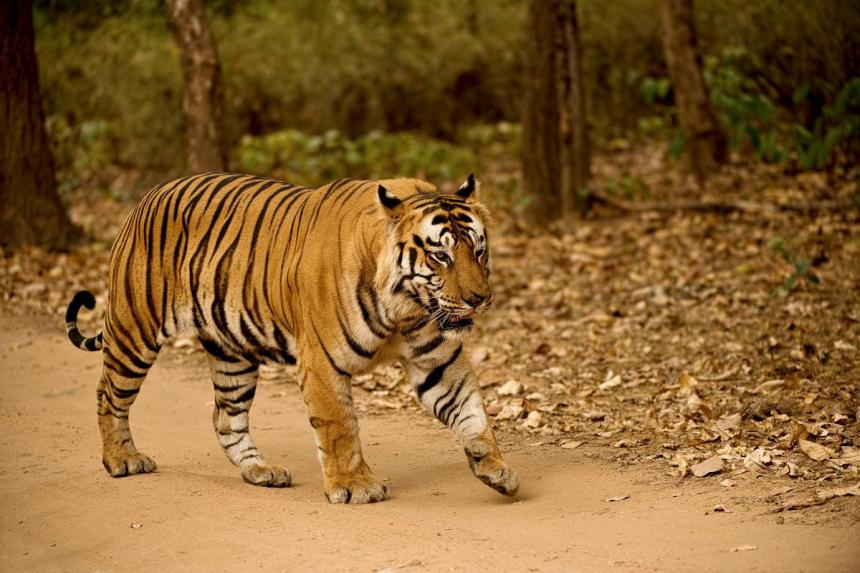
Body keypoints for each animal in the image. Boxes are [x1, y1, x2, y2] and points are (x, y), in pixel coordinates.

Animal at [65, 172, 516, 502]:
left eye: (478, 251)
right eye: (441, 255)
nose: (480, 299)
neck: (405, 309)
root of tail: (147, 196)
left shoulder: (436, 359)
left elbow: (470, 408)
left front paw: (492, 465)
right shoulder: (321, 362)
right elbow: (338, 425)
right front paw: (355, 487)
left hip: (232, 354)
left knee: (225, 416)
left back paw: (259, 471)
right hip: (134, 332)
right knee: (108, 395)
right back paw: (122, 459)